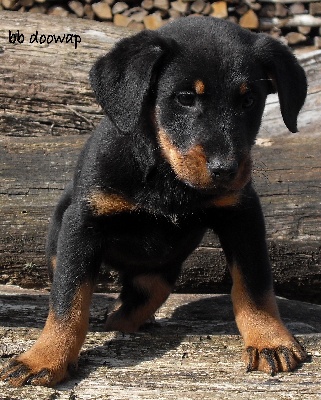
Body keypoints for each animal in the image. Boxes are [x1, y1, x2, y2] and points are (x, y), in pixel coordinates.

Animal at [1, 17, 306, 386]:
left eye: (249, 102)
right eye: (185, 98)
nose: (226, 170)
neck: (164, 174)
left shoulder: (242, 216)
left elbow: (255, 284)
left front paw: (269, 340)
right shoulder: (83, 223)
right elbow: (68, 298)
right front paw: (45, 358)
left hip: (159, 270)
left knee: (144, 296)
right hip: (61, 230)